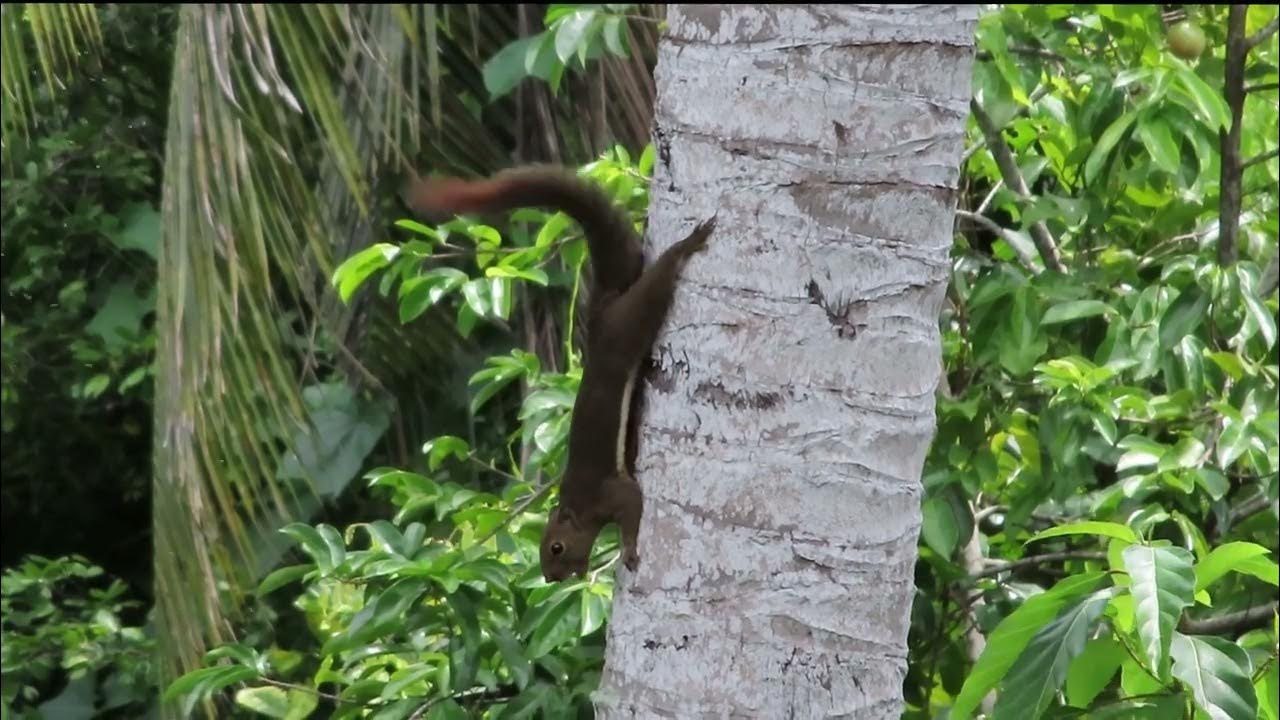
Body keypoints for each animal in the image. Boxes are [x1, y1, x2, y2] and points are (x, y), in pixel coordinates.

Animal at [406, 165, 715, 582]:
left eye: (556, 547)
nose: (554, 578)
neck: (578, 506)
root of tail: (600, 315)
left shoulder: (609, 492)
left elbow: (633, 505)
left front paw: (629, 550)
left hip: (627, 324)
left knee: (657, 285)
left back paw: (687, 245)